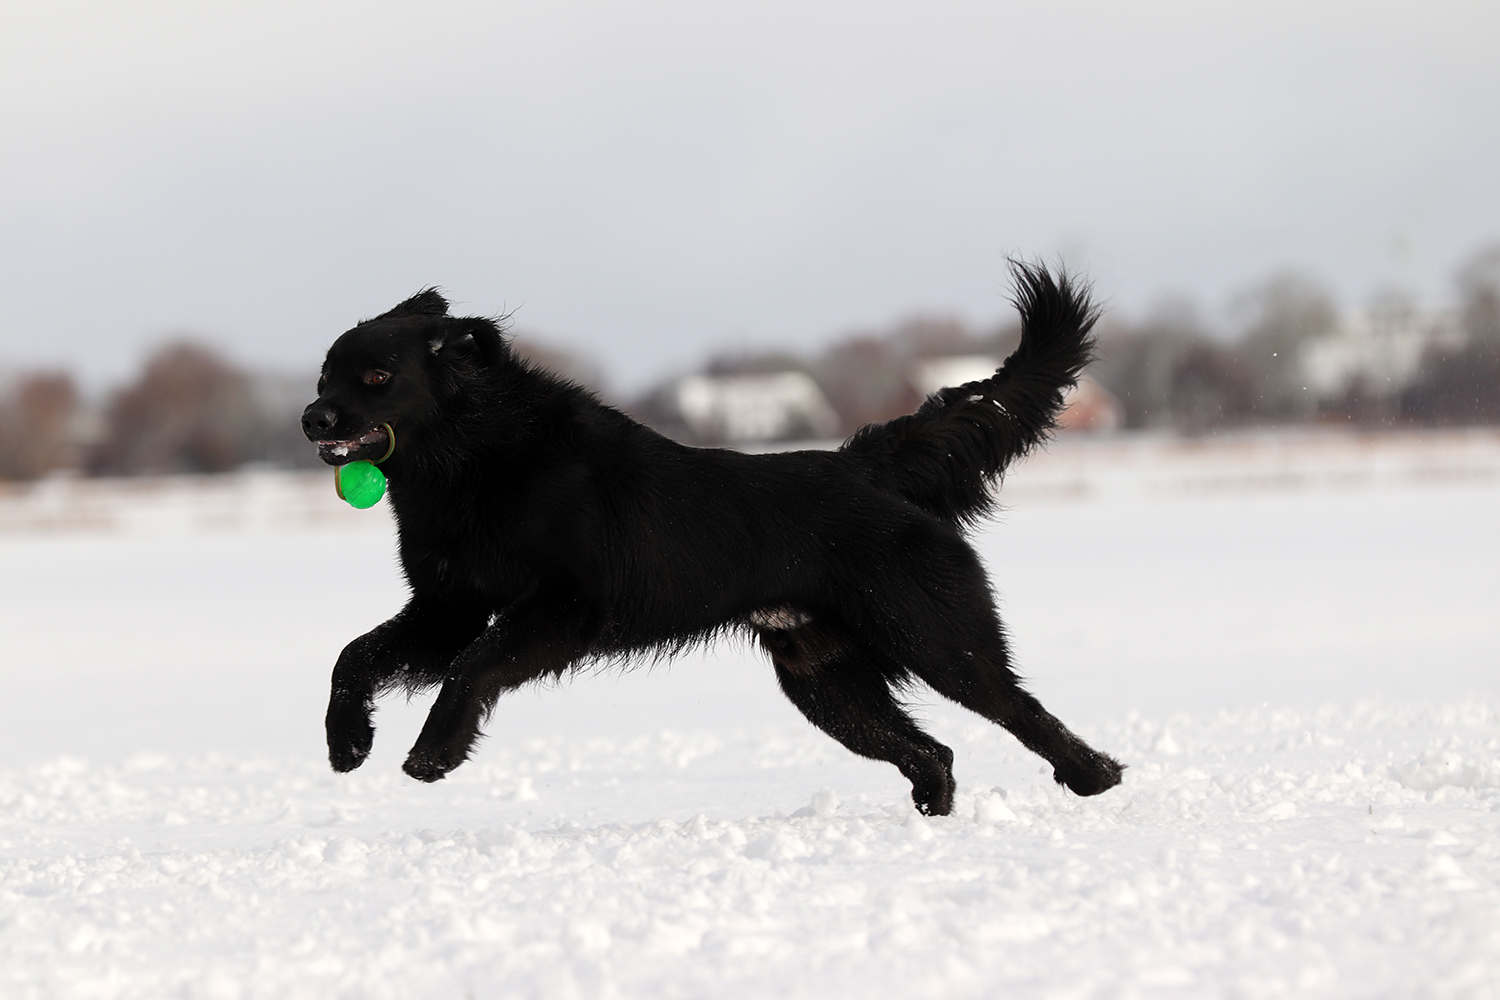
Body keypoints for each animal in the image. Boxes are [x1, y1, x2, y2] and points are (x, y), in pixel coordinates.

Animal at [301, 262, 1123, 815]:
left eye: (376, 377)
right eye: (323, 376)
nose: (312, 418)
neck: (474, 460)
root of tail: (866, 464)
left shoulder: (563, 610)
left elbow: (472, 669)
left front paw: (433, 754)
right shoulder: (449, 608)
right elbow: (353, 657)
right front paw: (348, 742)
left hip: (937, 639)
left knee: (1019, 710)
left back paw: (1095, 778)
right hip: (826, 682)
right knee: (933, 751)